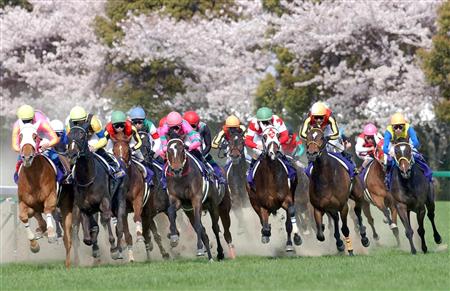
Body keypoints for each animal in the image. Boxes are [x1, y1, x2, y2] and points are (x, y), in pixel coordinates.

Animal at [15, 122, 72, 268]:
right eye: (20, 136)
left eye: (35, 136)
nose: (27, 157)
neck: (33, 178)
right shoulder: (25, 202)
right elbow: (24, 217)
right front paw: (34, 245)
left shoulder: (51, 196)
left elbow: (47, 209)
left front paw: (51, 234)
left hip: (66, 206)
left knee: (68, 238)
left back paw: (69, 263)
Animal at [66, 125, 125, 264]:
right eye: (69, 136)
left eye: (82, 136)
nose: (72, 155)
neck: (87, 179)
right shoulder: (83, 206)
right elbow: (89, 233)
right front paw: (94, 246)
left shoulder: (105, 202)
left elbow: (106, 220)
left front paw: (113, 250)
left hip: (119, 198)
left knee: (119, 226)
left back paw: (119, 250)